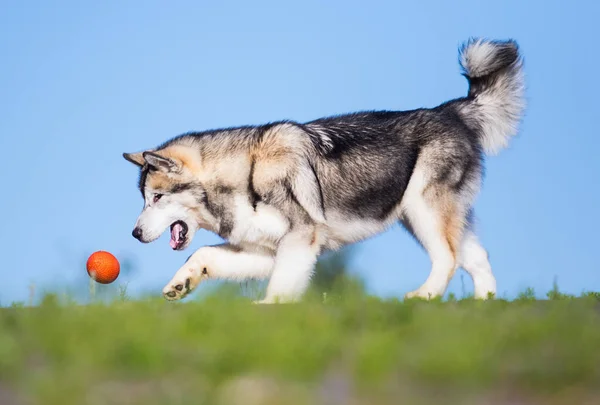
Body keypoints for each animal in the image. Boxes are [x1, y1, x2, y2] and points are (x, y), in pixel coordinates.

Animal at [123, 38, 524, 304]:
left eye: (157, 197)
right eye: (144, 199)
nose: (135, 234)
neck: (243, 175)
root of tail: (451, 110)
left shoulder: (301, 239)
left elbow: (279, 289)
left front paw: (266, 310)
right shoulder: (266, 250)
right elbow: (203, 254)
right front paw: (181, 284)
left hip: (422, 211)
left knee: (448, 258)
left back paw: (424, 295)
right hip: (426, 216)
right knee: (476, 257)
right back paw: (483, 307)